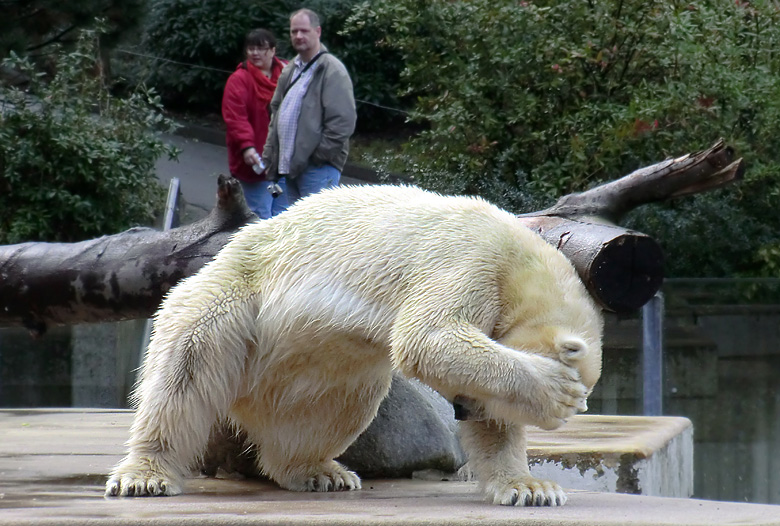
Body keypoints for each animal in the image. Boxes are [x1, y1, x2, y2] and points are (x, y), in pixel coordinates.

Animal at [103, 185, 604, 508]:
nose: (462, 411)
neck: (520, 254)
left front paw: (529, 488)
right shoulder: (467, 261)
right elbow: (429, 336)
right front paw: (556, 394)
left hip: (309, 365)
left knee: (334, 402)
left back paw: (316, 470)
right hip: (234, 297)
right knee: (185, 368)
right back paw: (145, 474)